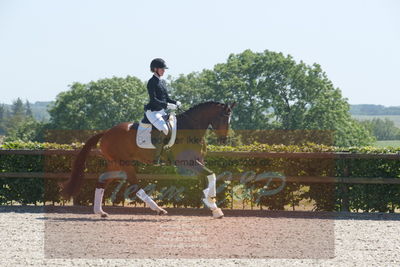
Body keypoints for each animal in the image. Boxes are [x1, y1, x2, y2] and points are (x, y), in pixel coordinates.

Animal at [61, 101, 236, 219]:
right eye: (223, 118)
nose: (223, 140)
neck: (190, 127)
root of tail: (106, 133)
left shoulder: (199, 161)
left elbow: (205, 179)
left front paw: (213, 207)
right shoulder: (187, 163)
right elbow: (211, 175)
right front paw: (213, 204)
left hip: (114, 163)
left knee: (101, 182)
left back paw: (100, 211)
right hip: (125, 163)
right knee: (135, 185)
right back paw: (158, 209)